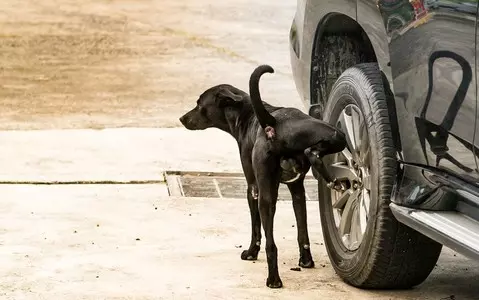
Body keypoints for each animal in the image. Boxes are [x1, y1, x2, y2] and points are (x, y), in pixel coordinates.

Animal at [180, 65, 344, 288]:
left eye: (199, 104)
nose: (182, 118)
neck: (246, 114)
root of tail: (273, 122)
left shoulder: (253, 189)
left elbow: (256, 228)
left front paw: (251, 252)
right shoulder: (297, 190)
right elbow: (302, 231)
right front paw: (305, 260)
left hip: (266, 196)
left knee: (271, 245)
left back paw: (273, 279)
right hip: (333, 135)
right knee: (315, 152)